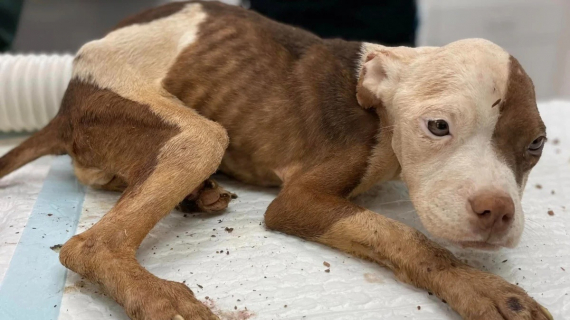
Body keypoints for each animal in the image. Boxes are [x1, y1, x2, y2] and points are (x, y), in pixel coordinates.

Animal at [0, 1, 552, 318]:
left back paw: (195, 195)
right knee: (89, 245)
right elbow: (408, 237)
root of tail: (65, 101)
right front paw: (486, 290)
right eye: (438, 126)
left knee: (99, 175)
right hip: (197, 134)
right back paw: (162, 298)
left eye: (537, 145)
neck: (380, 103)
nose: (497, 212)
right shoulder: (300, 200)